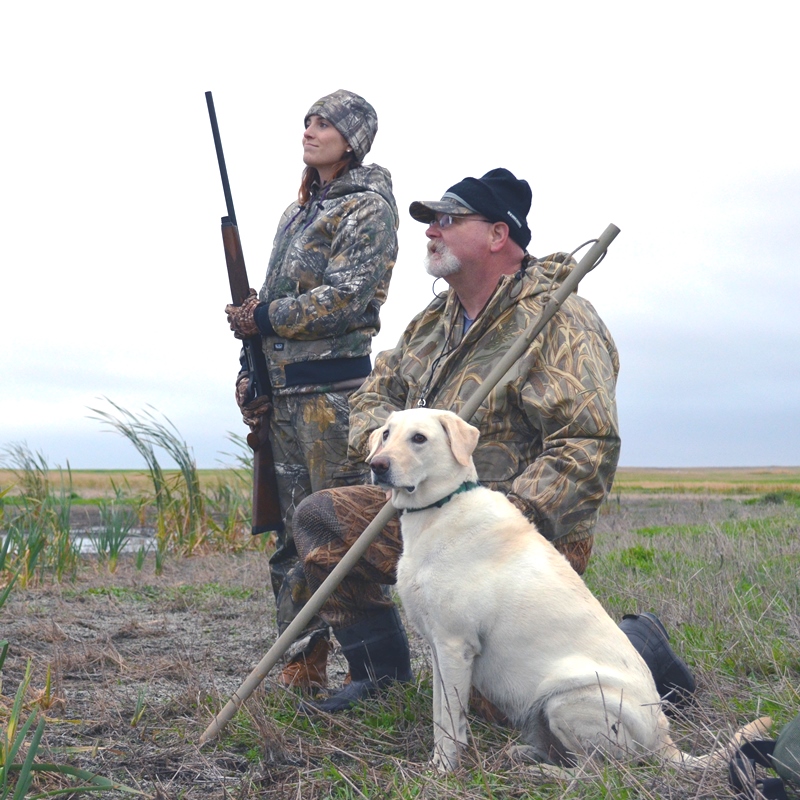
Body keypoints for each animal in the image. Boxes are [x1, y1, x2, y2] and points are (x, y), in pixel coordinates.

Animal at [368, 410, 768, 772]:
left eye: (419, 438)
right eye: (386, 434)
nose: (376, 465)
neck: (441, 507)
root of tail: (663, 740)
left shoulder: (455, 647)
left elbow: (449, 723)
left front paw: (443, 769)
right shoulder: (440, 651)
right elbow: (441, 714)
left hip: (566, 701)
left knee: (597, 770)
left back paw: (543, 771)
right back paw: (527, 755)